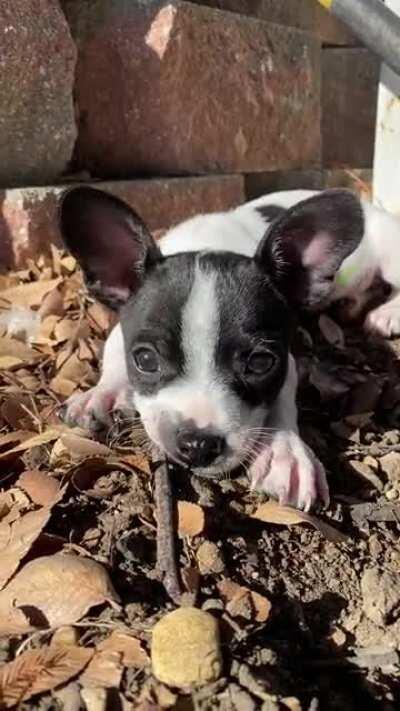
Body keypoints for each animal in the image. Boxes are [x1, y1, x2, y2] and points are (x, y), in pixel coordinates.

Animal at [57, 186, 400, 512]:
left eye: (261, 363)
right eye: (144, 359)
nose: (199, 444)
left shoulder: (285, 360)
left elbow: (281, 398)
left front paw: (284, 451)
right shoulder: (121, 331)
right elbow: (114, 353)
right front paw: (101, 394)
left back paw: (388, 312)